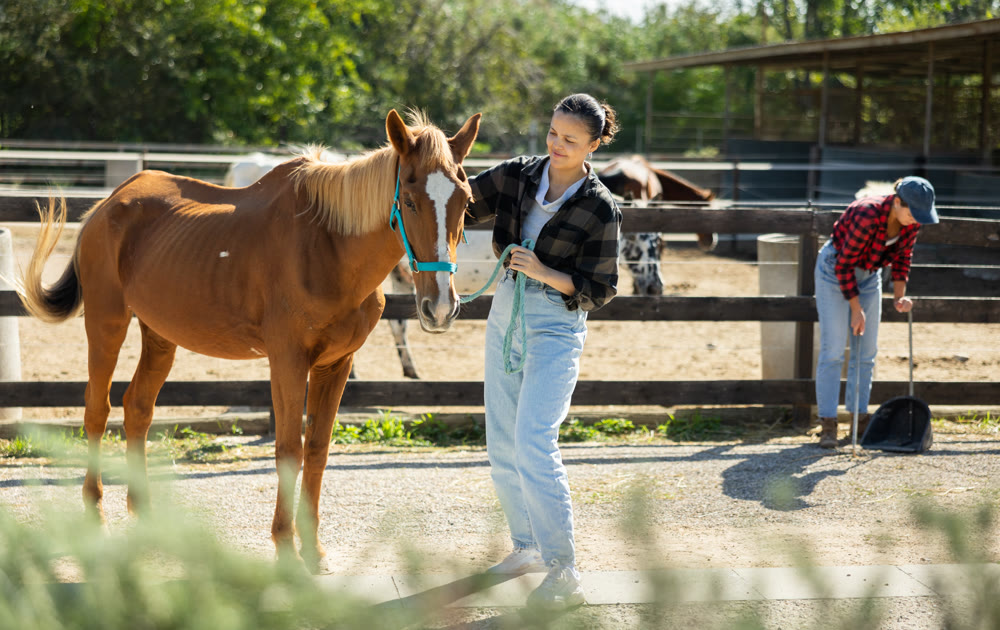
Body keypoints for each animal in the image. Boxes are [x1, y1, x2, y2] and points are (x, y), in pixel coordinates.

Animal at [18, 109, 481, 572]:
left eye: (465, 201)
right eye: (409, 200)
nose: (440, 306)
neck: (328, 247)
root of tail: (110, 202)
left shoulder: (337, 363)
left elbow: (318, 449)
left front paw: (314, 549)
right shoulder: (288, 361)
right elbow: (289, 449)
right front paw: (285, 546)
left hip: (160, 336)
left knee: (138, 408)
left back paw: (146, 516)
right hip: (106, 324)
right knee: (98, 410)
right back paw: (94, 513)